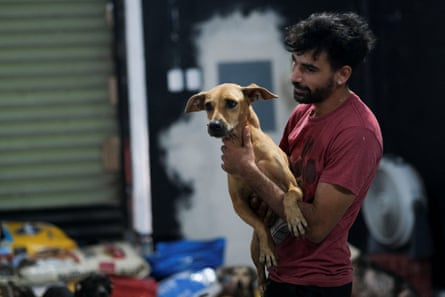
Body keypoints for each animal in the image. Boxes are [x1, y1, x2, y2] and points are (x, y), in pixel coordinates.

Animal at [186, 82, 306, 290]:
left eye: (231, 103)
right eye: (208, 106)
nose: (214, 125)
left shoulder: (294, 186)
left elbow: (289, 196)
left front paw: (294, 218)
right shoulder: (239, 204)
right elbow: (260, 225)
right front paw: (268, 249)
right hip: (253, 247)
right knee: (259, 268)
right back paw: (263, 282)